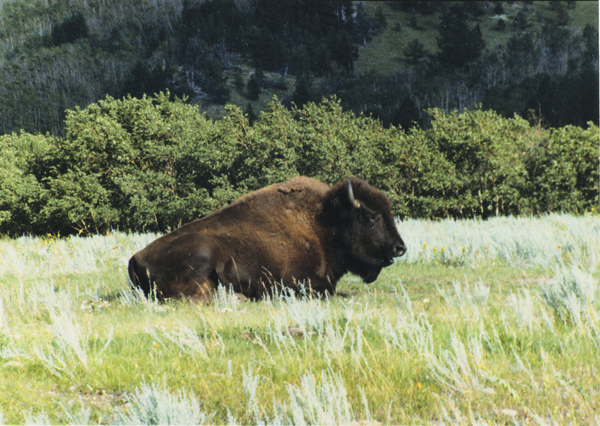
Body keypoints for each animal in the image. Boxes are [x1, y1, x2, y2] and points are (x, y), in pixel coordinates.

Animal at [128, 176, 406, 302]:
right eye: (370, 217)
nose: (399, 248)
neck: (323, 225)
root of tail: (135, 259)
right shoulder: (300, 279)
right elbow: (326, 289)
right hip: (202, 252)